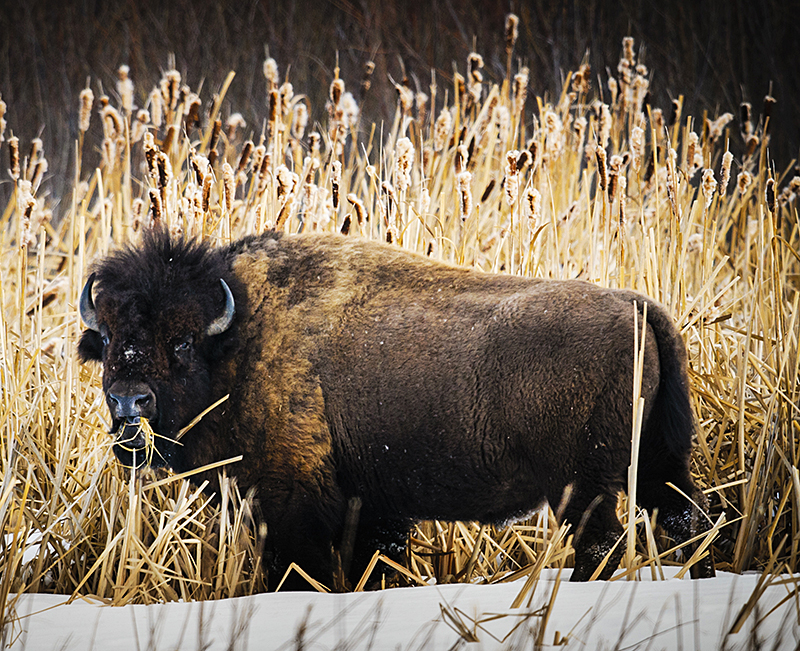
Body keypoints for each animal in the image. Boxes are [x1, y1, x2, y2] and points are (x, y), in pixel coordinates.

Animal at [78, 230, 716, 592]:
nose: (129, 402)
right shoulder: (373, 508)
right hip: (658, 463)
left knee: (602, 544)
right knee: (687, 519)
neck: (242, 339)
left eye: (183, 342)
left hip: (584, 487)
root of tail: (638, 306)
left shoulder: (292, 503)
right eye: (106, 339)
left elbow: (300, 572)